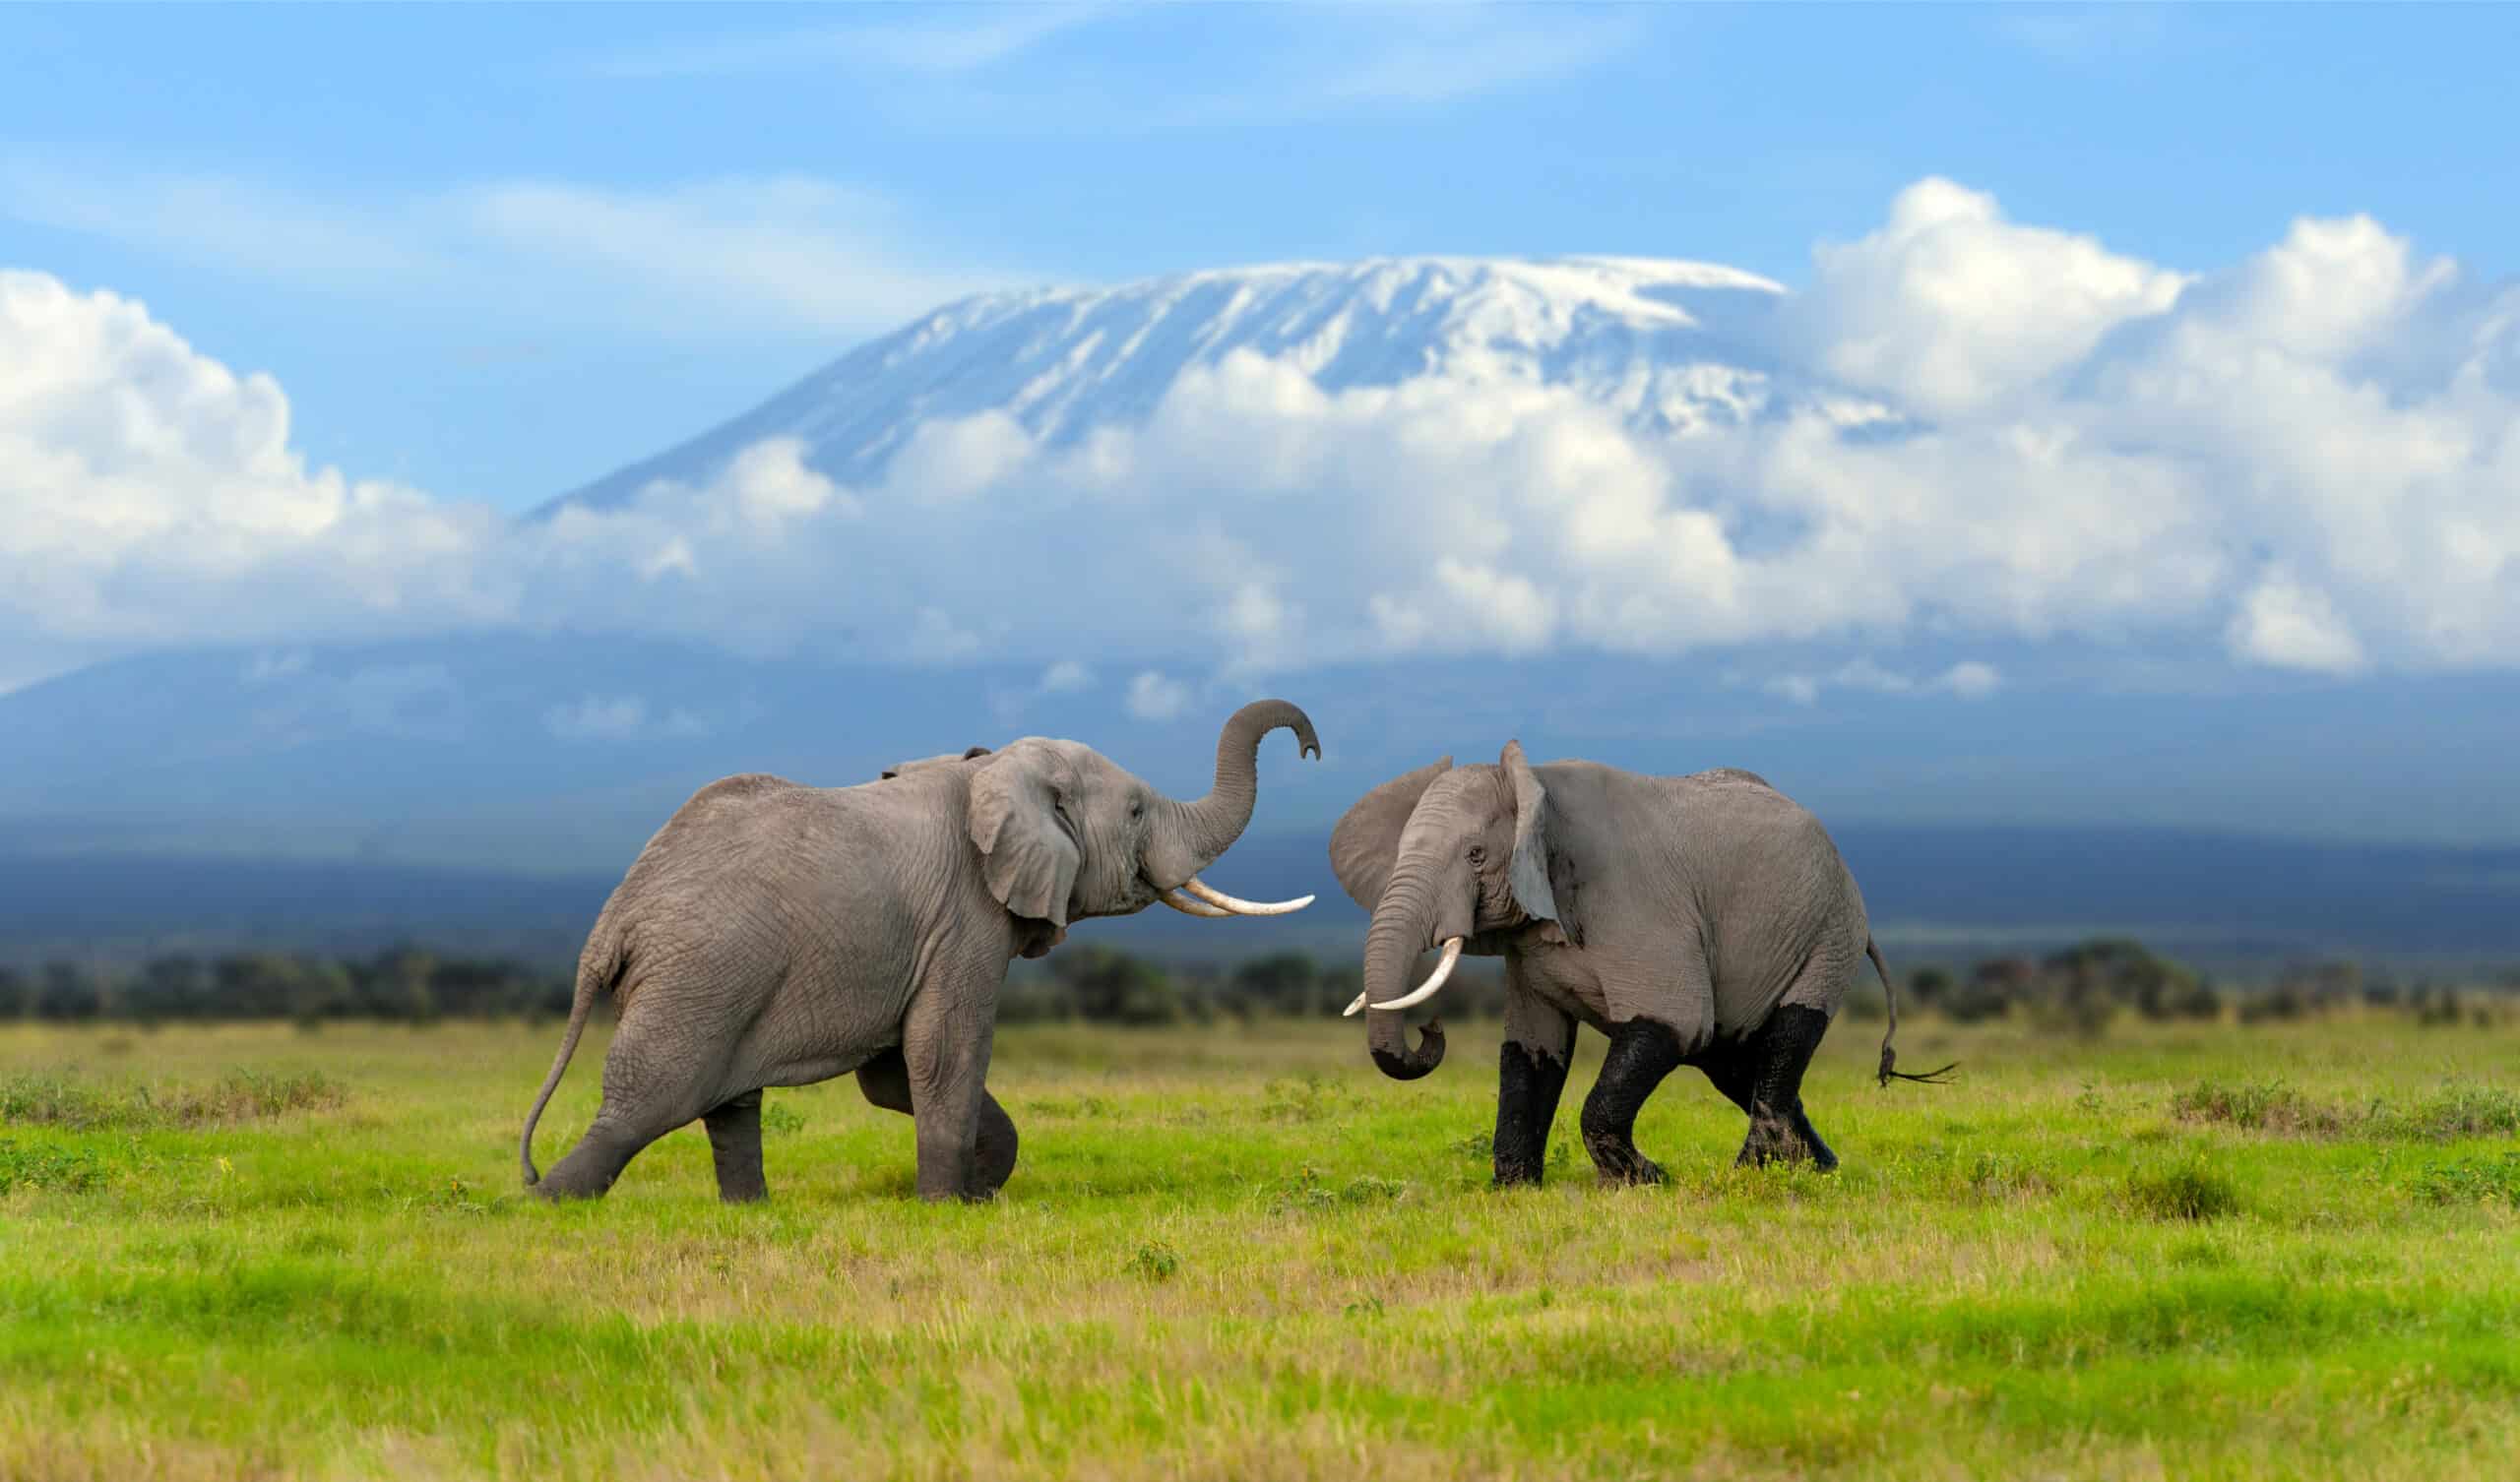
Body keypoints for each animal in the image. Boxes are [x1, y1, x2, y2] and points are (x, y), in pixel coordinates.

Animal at [519, 699, 1322, 1205]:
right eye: (1134, 812)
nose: (1311, 747)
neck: (992, 769)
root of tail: (612, 921)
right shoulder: (964, 917)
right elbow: (946, 1048)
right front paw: (947, 1206)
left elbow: (892, 1074)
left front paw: (979, 1188)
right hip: (700, 975)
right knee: (647, 1103)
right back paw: (548, 1203)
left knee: (729, 1106)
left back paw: (750, 1212)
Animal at [1327, 742, 1952, 1187]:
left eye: (1476, 856)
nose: (1430, 1029)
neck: (1535, 788)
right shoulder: (1530, 947)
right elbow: (1532, 1048)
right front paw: (1515, 1188)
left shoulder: (1637, 902)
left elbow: (1673, 1019)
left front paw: (1648, 1179)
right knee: (1733, 1062)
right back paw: (1819, 1170)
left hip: (1829, 930)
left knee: (1784, 1039)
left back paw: (1754, 1175)